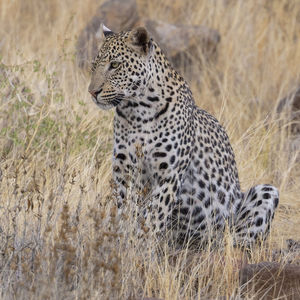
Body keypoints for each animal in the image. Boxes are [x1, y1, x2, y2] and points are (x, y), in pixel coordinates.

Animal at [88, 24, 280, 248]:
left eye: (115, 65)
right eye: (94, 66)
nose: (92, 92)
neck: (137, 110)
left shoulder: (168, 176)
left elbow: (153, 218)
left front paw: (141, 249)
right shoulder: (124, 172)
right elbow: (124, 213)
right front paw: (120, 245)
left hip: (265, 192)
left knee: (236, 239)